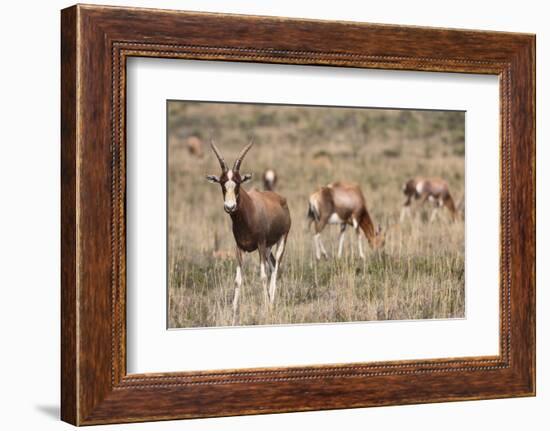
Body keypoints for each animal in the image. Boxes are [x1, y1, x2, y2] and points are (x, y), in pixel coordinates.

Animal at [207, 139, 294, 324]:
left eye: (238, 182)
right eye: (222, 183)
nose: (230, 207)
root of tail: (280, 199)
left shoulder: (260, 244)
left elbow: (262, 276)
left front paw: (266, 310)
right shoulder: (239, 248)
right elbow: (237, 280)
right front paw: (233, 315)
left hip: (280, 240)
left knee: (276, 267)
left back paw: (271, 304)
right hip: (268, 248)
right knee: (272, 265)